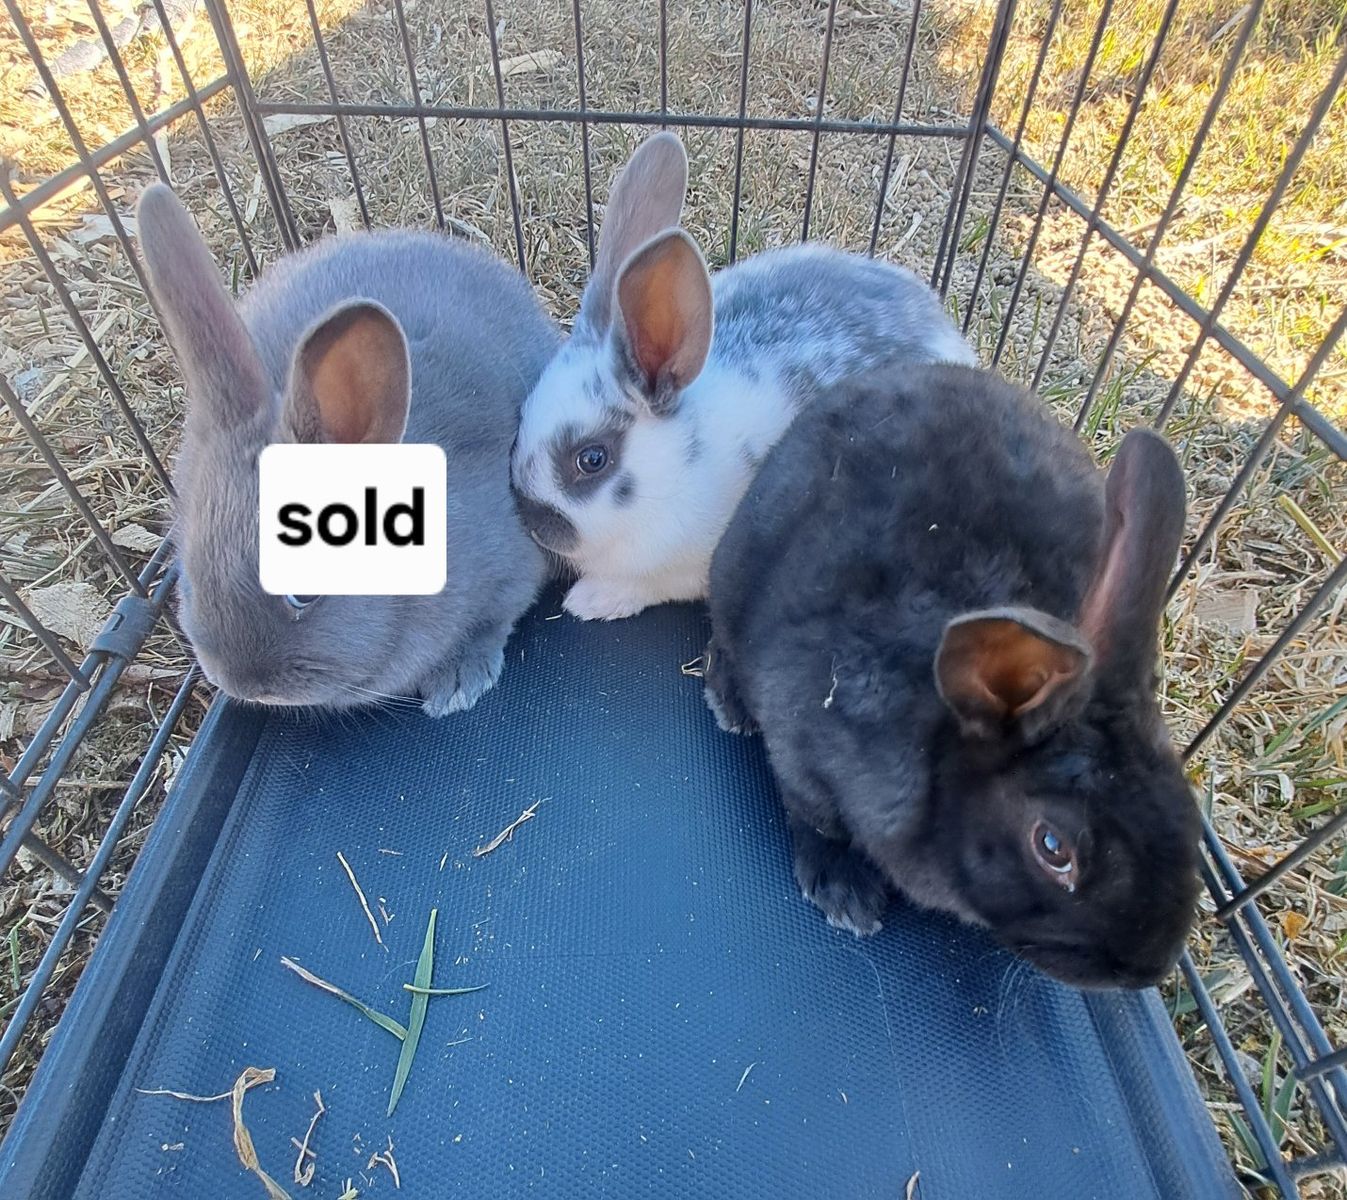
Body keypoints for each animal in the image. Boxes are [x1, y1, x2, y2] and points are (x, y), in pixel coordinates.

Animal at [136, 184, 557, 715]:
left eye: (303, 594)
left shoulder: (511, 566)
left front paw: (457, 682)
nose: (240, 683)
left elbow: (492, 621)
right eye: (189, 579)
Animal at [510, 131, 976, 622]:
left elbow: (644, 585)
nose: (533, 520)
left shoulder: (683, 568)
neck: (680, 467)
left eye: (592, 459)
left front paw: (590, 600)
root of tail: (944, 326)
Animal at [703, 363, 1202, 990]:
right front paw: (846, 892)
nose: (1148, 970)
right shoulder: (800, 747)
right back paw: (729, 703)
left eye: (1190, 813)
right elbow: (815, 815)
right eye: (1053, 847)